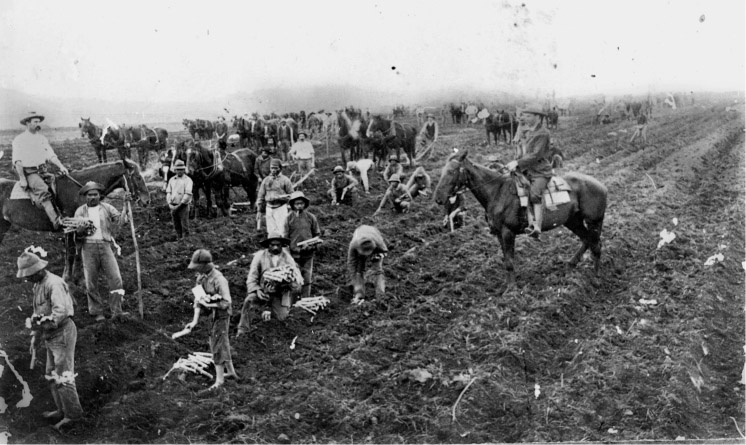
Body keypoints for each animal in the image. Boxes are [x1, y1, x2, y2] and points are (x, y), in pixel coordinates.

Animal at [0, 160, 151, 280]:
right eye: (138, 177)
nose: (147, 201)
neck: (81, 189)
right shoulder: (69, 227)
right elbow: (71, 252)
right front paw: (67, 277)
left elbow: (78, 251)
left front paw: (78, 276)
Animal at [434, 149, 608, 292]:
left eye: (452, 171)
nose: (438, 198)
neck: (497, 192)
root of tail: (601, 186)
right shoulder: (499, 234)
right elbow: (506, 260)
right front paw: (508, 285)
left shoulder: (508, 232)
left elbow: (510, 261)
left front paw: (512, 290)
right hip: (572, 220)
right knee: (587, 240)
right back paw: (570, 265)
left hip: (593, 221)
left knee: (596, 245)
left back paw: (596, 279)